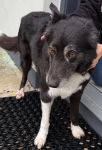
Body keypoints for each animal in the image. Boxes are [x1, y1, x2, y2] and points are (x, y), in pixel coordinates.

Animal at [0, 3, 99, 149]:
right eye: (52, 50)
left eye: (72, 53)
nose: (50, 83)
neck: (72, 74)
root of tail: (28, 14)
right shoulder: (46, 94)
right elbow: (45, 121)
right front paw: (41, 137)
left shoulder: (77, 92)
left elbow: (74, 113)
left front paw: (75, 129)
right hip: (25, 58)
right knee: (24, 75)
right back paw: (20, 91)